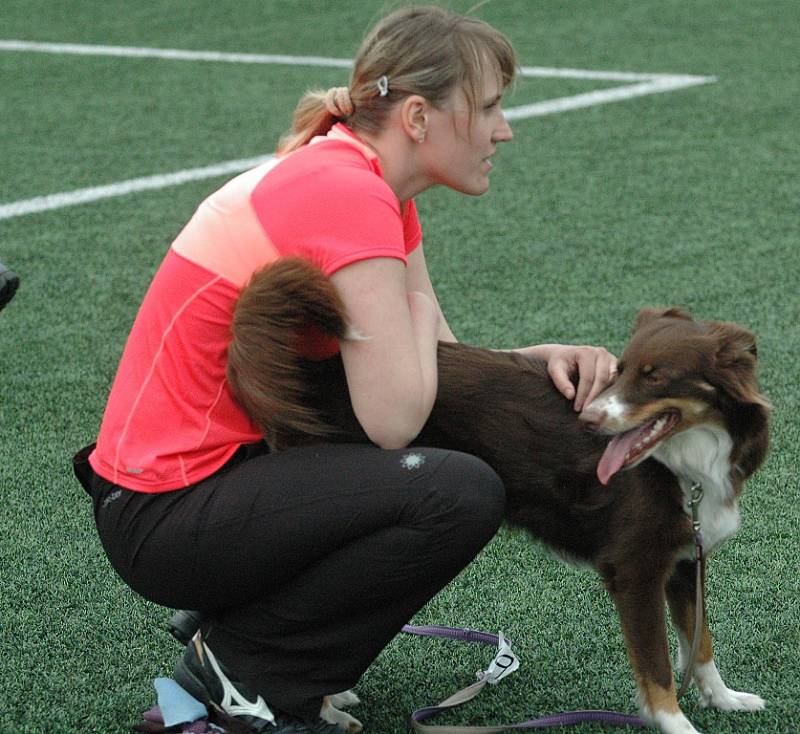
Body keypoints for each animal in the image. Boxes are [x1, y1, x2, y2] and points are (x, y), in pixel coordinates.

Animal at [225, 258, 768, 734]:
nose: (589, 421)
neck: (684, 465)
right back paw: (320, 709)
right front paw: (678, 725)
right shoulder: (634, 570)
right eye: (620, 371)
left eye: (654, 377)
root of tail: (307, 377)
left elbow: (700, 642)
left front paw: (724, 699)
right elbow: (657, 668)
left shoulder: (685, 559)